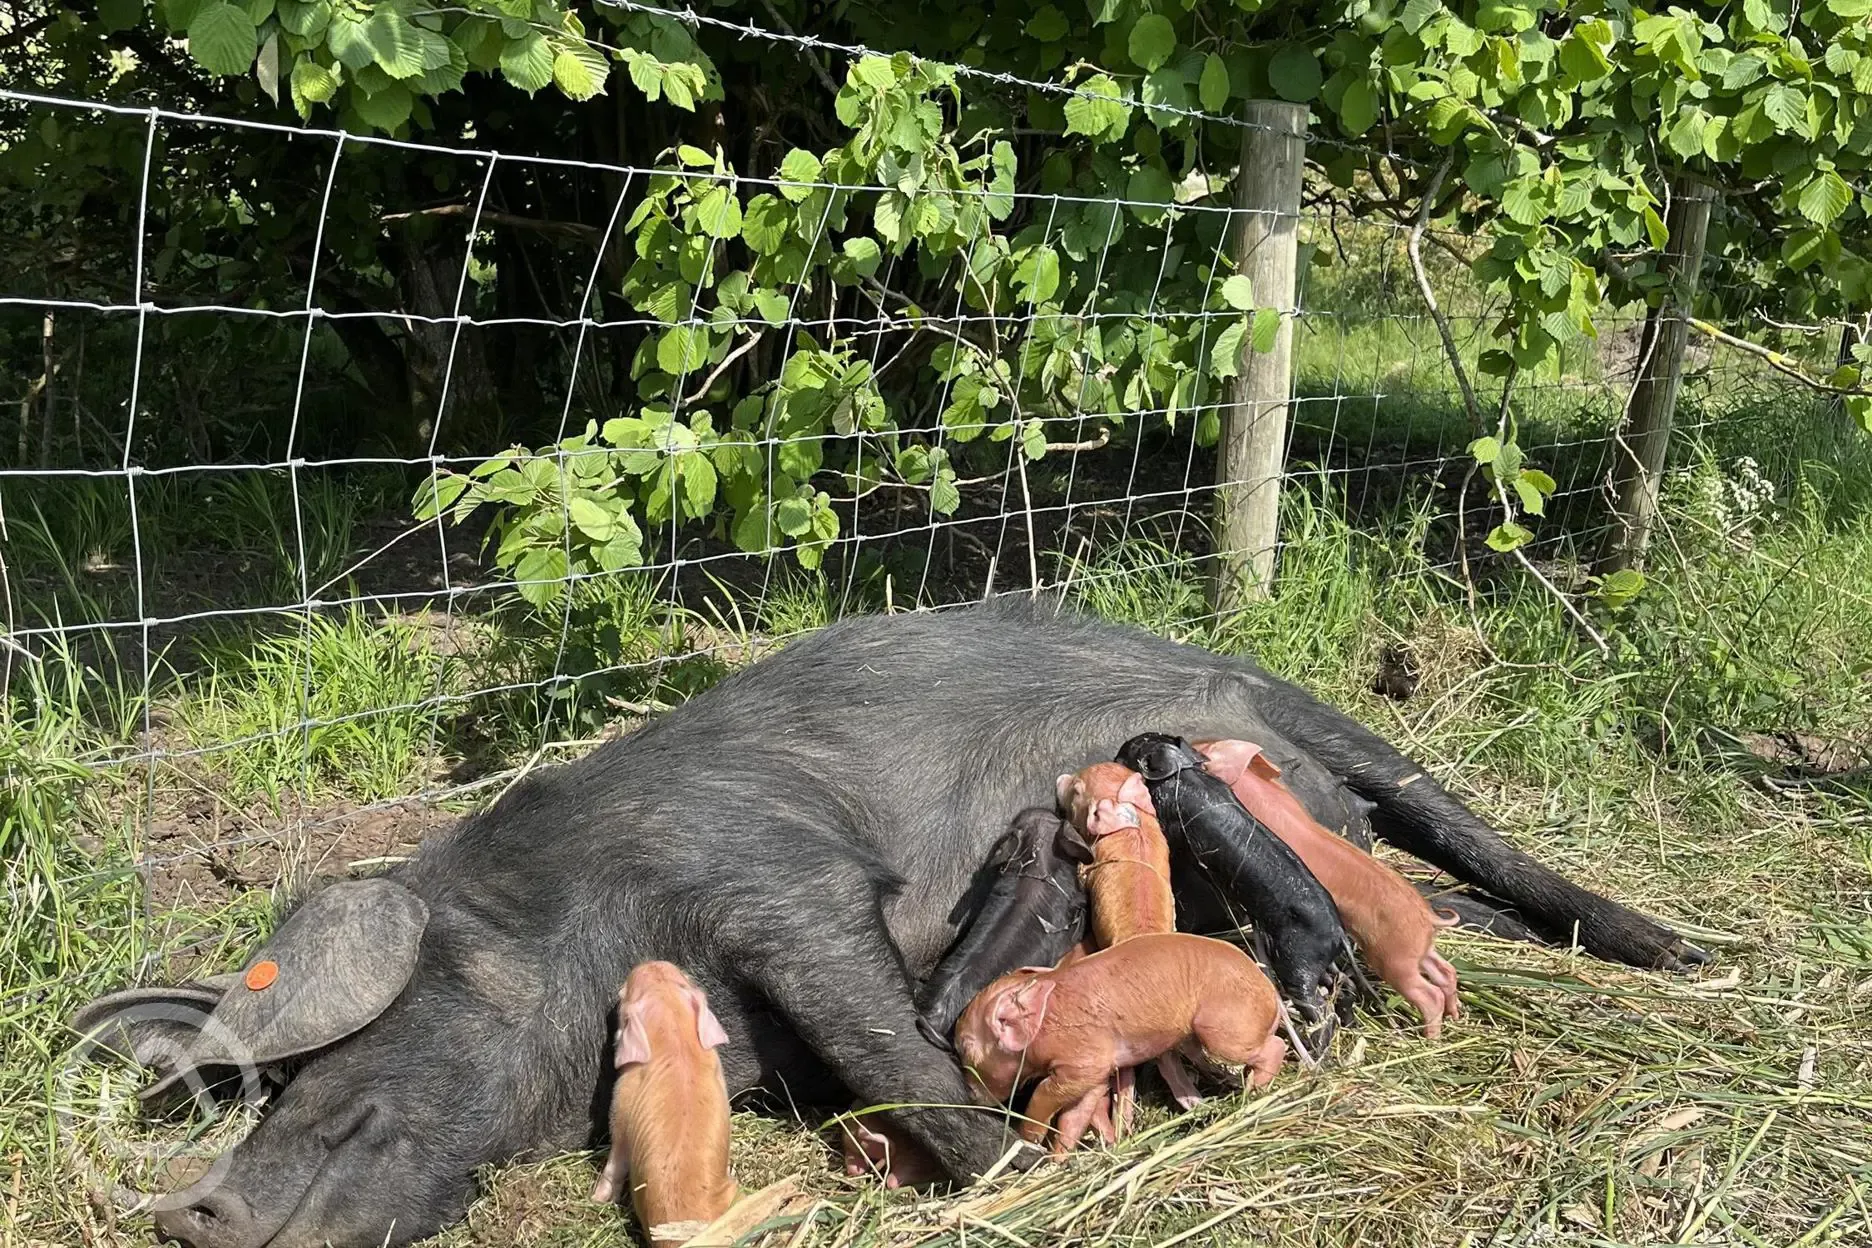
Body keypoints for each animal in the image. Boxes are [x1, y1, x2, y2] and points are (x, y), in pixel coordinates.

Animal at [73, 598, 1707, 1242]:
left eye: (312, 1058)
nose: (184, 1211)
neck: (578, 910)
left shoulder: (774, 881)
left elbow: (886, 1044)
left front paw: (1008, 1171)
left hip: (1335, 751)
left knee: (1468, 853)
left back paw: (1679, 955)